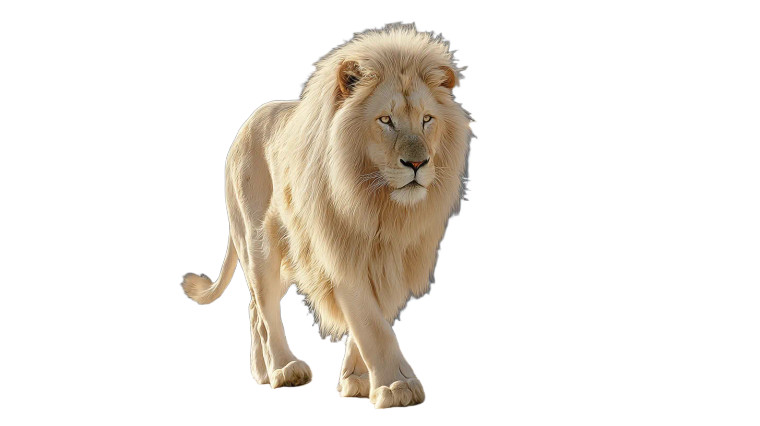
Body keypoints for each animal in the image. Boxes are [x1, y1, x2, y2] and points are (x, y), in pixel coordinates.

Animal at [181, 23, 472, 408]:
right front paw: (397, 386)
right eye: (386, 120)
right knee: (265, 311)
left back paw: (261, 373)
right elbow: (371, 324)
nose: (418, 163)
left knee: (254, 307)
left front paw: (357, 380)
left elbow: (372, 320)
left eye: (427, 119)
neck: (381, 205)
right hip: (258, 241)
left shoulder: (392, 256)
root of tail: (246, 124)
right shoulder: (338, 249)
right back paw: (283, 369)